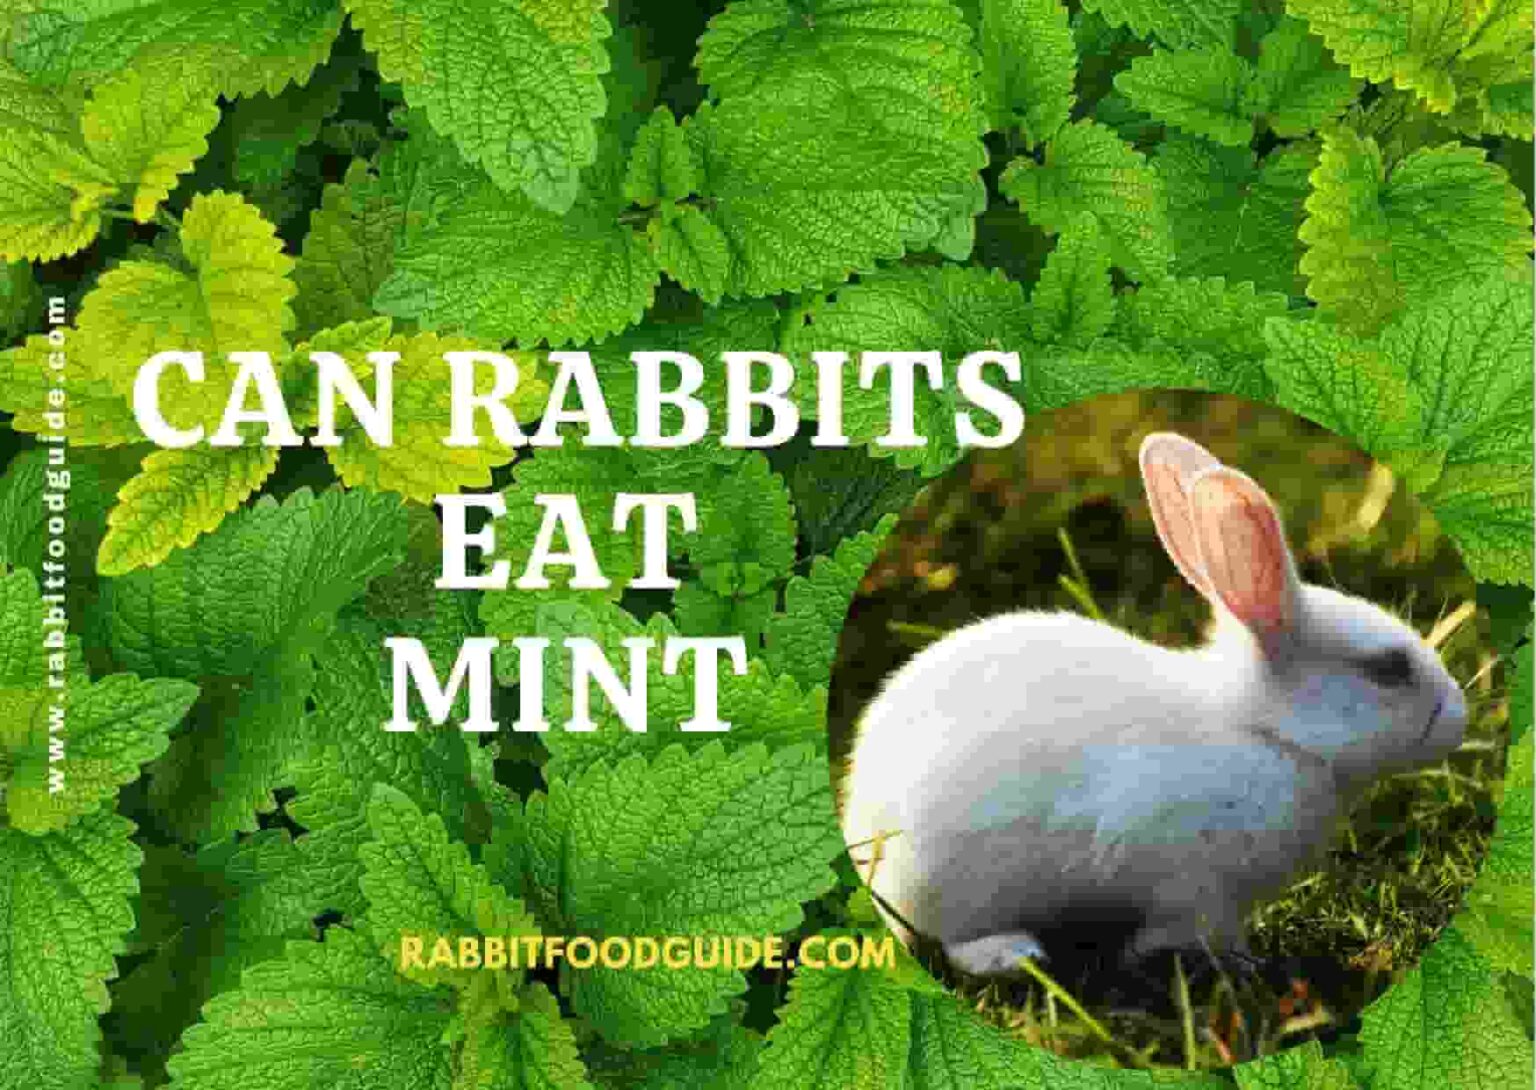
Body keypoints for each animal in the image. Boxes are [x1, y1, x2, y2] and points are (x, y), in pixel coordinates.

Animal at [840, 432, 1468, 977]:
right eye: (1388, 668)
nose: (1460, 718)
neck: (1263, 732)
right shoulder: (1193, 884)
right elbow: (1192, 928)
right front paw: (1237, 964)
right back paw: (1014, 954)